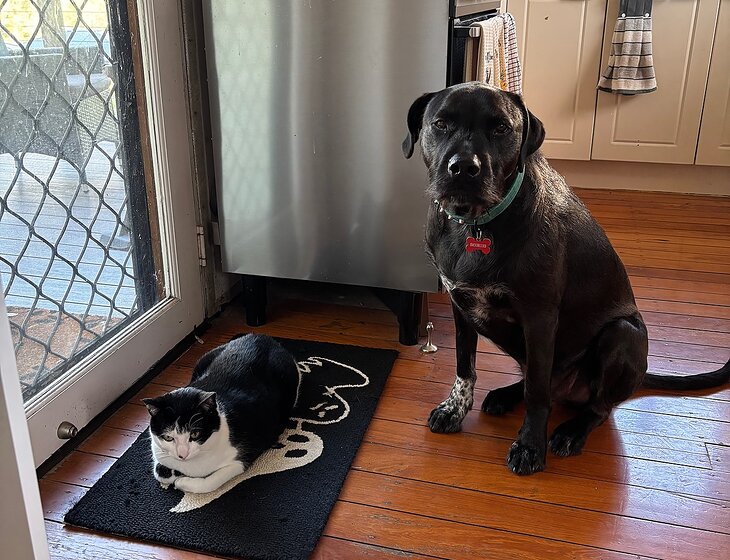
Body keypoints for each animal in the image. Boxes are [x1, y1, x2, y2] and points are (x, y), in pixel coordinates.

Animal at [142, 333, 300, 494]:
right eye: (168, 437)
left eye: (195, 434)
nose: (182, 455)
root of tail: (261, 336)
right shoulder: (157, 448)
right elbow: (159, 468)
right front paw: (169, 473)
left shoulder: (243, 457)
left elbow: (210, 482)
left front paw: (180, 481)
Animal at [402, 82, 730, 475]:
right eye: (440, 123)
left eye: (501, 128)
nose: (464, 168)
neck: (477, 224)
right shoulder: (460, 305)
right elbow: (465, 366)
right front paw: (455, 409)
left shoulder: (540, 318)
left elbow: (537, 391)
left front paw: (530, 446)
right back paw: (504, 396)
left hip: (622, 334)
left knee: (596, 407)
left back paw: (572, 431)